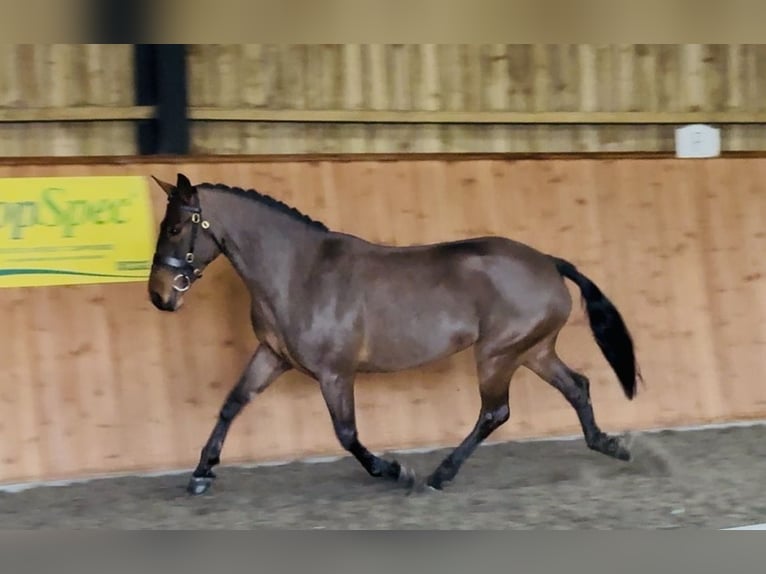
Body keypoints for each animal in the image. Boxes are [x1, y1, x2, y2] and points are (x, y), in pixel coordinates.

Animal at [147, 172, 641, 496]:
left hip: (498, 354)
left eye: (175, 227)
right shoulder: (273, 355)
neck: (299, 273)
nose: (159, 296)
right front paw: (201, 472)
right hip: (533, 351)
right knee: (577, 386)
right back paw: (610, 445)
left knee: (494, 412)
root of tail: (548, 262)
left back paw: (439, 475)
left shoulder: (335, 372)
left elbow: (346, 433)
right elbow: (232, 404)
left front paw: (393, 470)